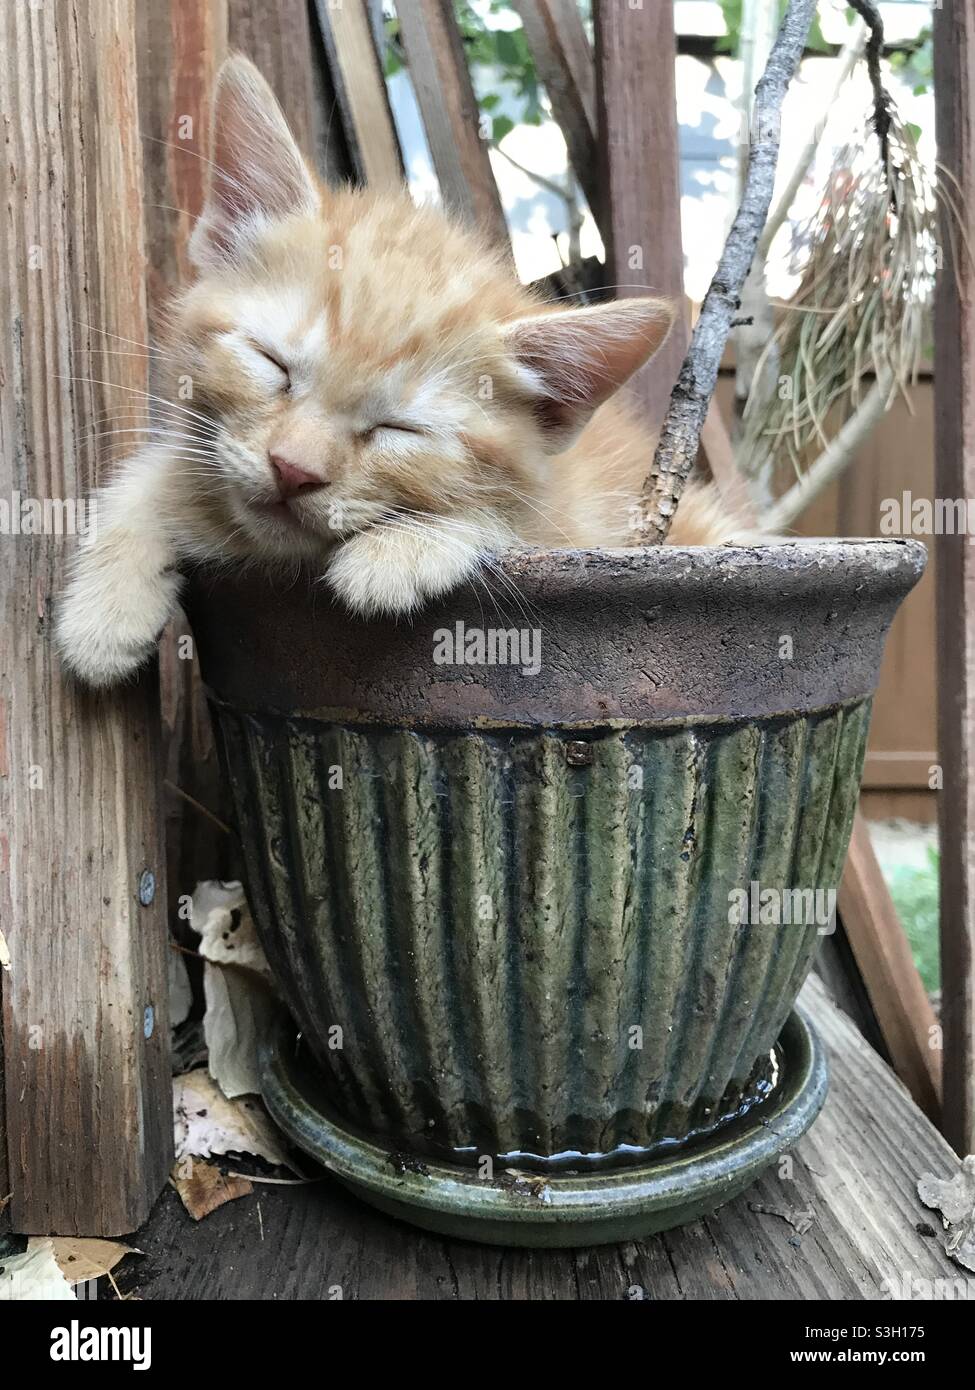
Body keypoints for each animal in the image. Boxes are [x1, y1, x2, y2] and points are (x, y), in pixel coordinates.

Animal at [55, 56, 739, 686]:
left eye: (399, 430)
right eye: (272, 364)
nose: (292, 470)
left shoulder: (580, 523)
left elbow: (514, 520)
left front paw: (403, 549)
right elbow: (162, 472)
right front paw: (105, 606)